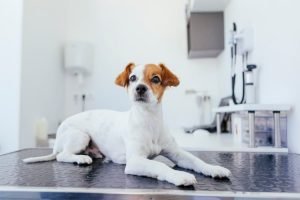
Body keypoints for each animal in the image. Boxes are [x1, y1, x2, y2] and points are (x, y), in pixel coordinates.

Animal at [23, 63, 231, 186]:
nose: (140, 88)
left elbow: (196, 161)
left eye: (155, 78)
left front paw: (214, 169)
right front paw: (179, 176)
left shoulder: (177, 153)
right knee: (62, 156)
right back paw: (80, 158)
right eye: (132, 78)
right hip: (80, 136)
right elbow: (159, 166)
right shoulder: (135, 161)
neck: (149, 120)